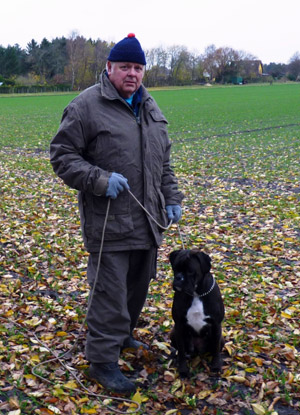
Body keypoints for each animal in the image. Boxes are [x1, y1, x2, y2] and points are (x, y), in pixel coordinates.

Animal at [170, 249, 224, 378]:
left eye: (190, 271)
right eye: (175, 268)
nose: (178, 277)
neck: (196, 294)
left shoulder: (216, 325)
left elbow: (216, 349)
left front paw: (216, 366)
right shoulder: (179, 325)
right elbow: (181, 351)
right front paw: (183, 369)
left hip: (222, 339)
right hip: (173, 334)